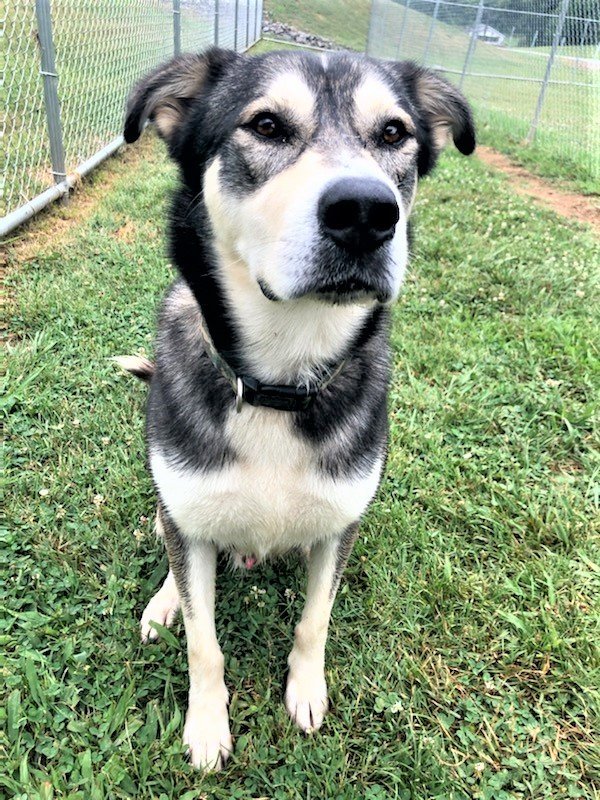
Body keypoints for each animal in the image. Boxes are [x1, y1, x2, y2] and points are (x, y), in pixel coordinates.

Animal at [122, 47, 476, 772]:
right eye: (266, 124)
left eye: (394, 133)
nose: (367, 212)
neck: (279, 384)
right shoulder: (187, 510)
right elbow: (203, 641)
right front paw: (207, 726)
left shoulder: (340, 523)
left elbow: (316, 620)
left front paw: (306, 693)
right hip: (170, 503)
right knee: (172, 540)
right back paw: (165, 599)